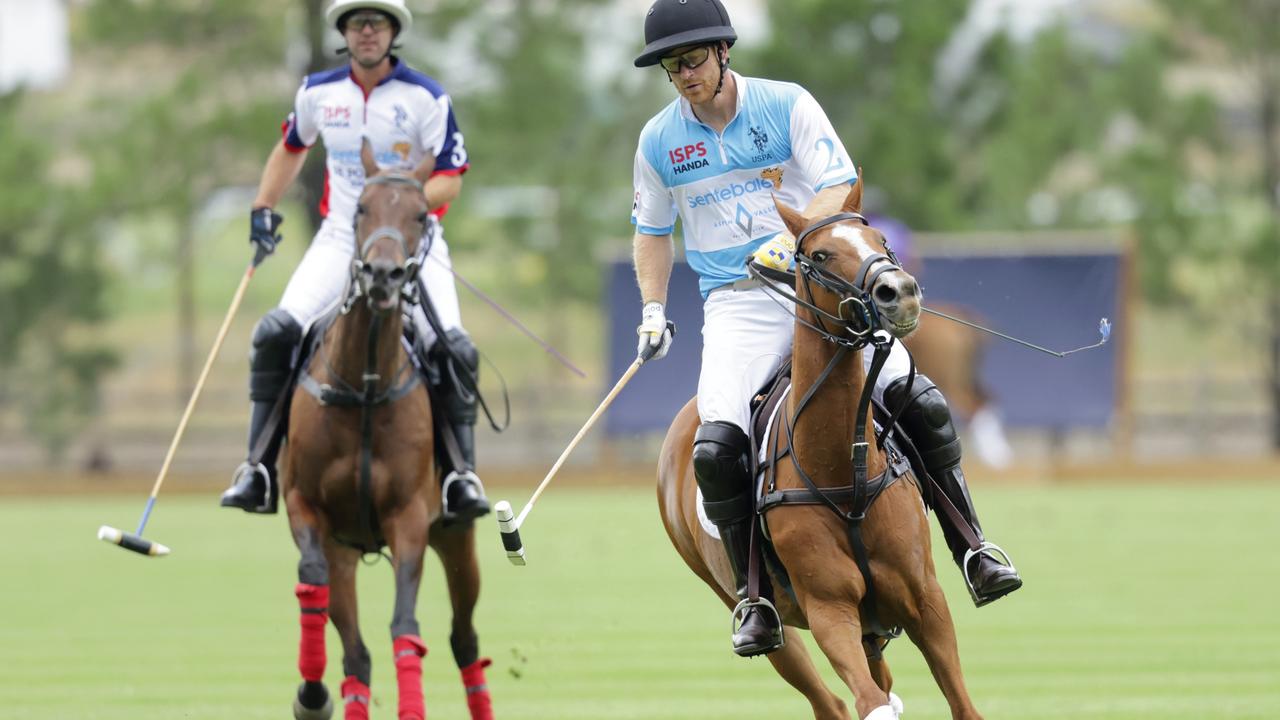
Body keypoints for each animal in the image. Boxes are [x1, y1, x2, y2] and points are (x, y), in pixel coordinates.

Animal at [282, 146, 491, 717]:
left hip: (457, 538)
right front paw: (311, 693)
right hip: (348, 549)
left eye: (421, 215)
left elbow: (406, 627)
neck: (364, 386)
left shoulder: (410, 517)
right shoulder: (308, 508)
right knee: (356, 652)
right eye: (360, 208)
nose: (382, 274)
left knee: (464, 640)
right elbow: (313, 587)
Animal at [655, 180, 983, 717]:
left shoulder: (924, 598)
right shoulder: (830, 609)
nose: (900, 293)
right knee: (827, 698)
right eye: (819, 255)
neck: (843, 471)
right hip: (762, 615)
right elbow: (869, 703)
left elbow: (960, 704)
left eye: (880, 240)